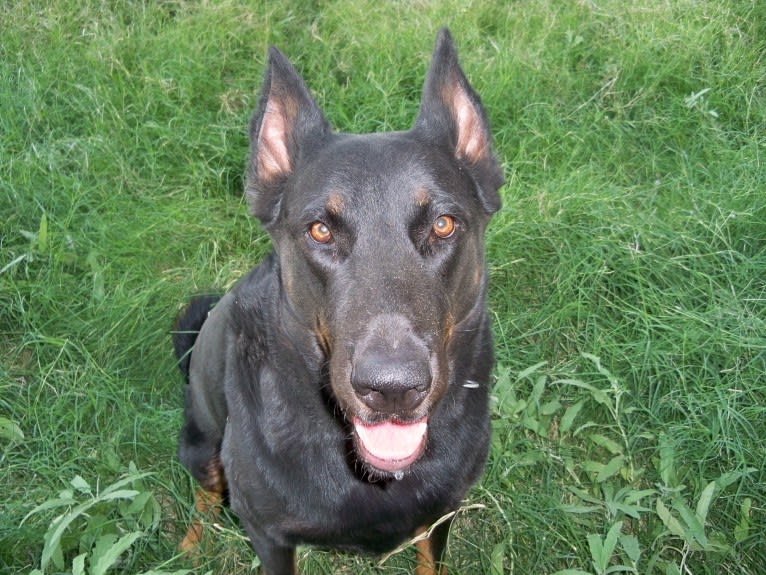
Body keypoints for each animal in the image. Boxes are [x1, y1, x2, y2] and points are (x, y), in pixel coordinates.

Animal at [177, 28, 508, 575]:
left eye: (443, 224)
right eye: (320, 230)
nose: (392, 390)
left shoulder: (442, 513)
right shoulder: (268, 534)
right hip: (201, 447)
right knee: (204, 492)